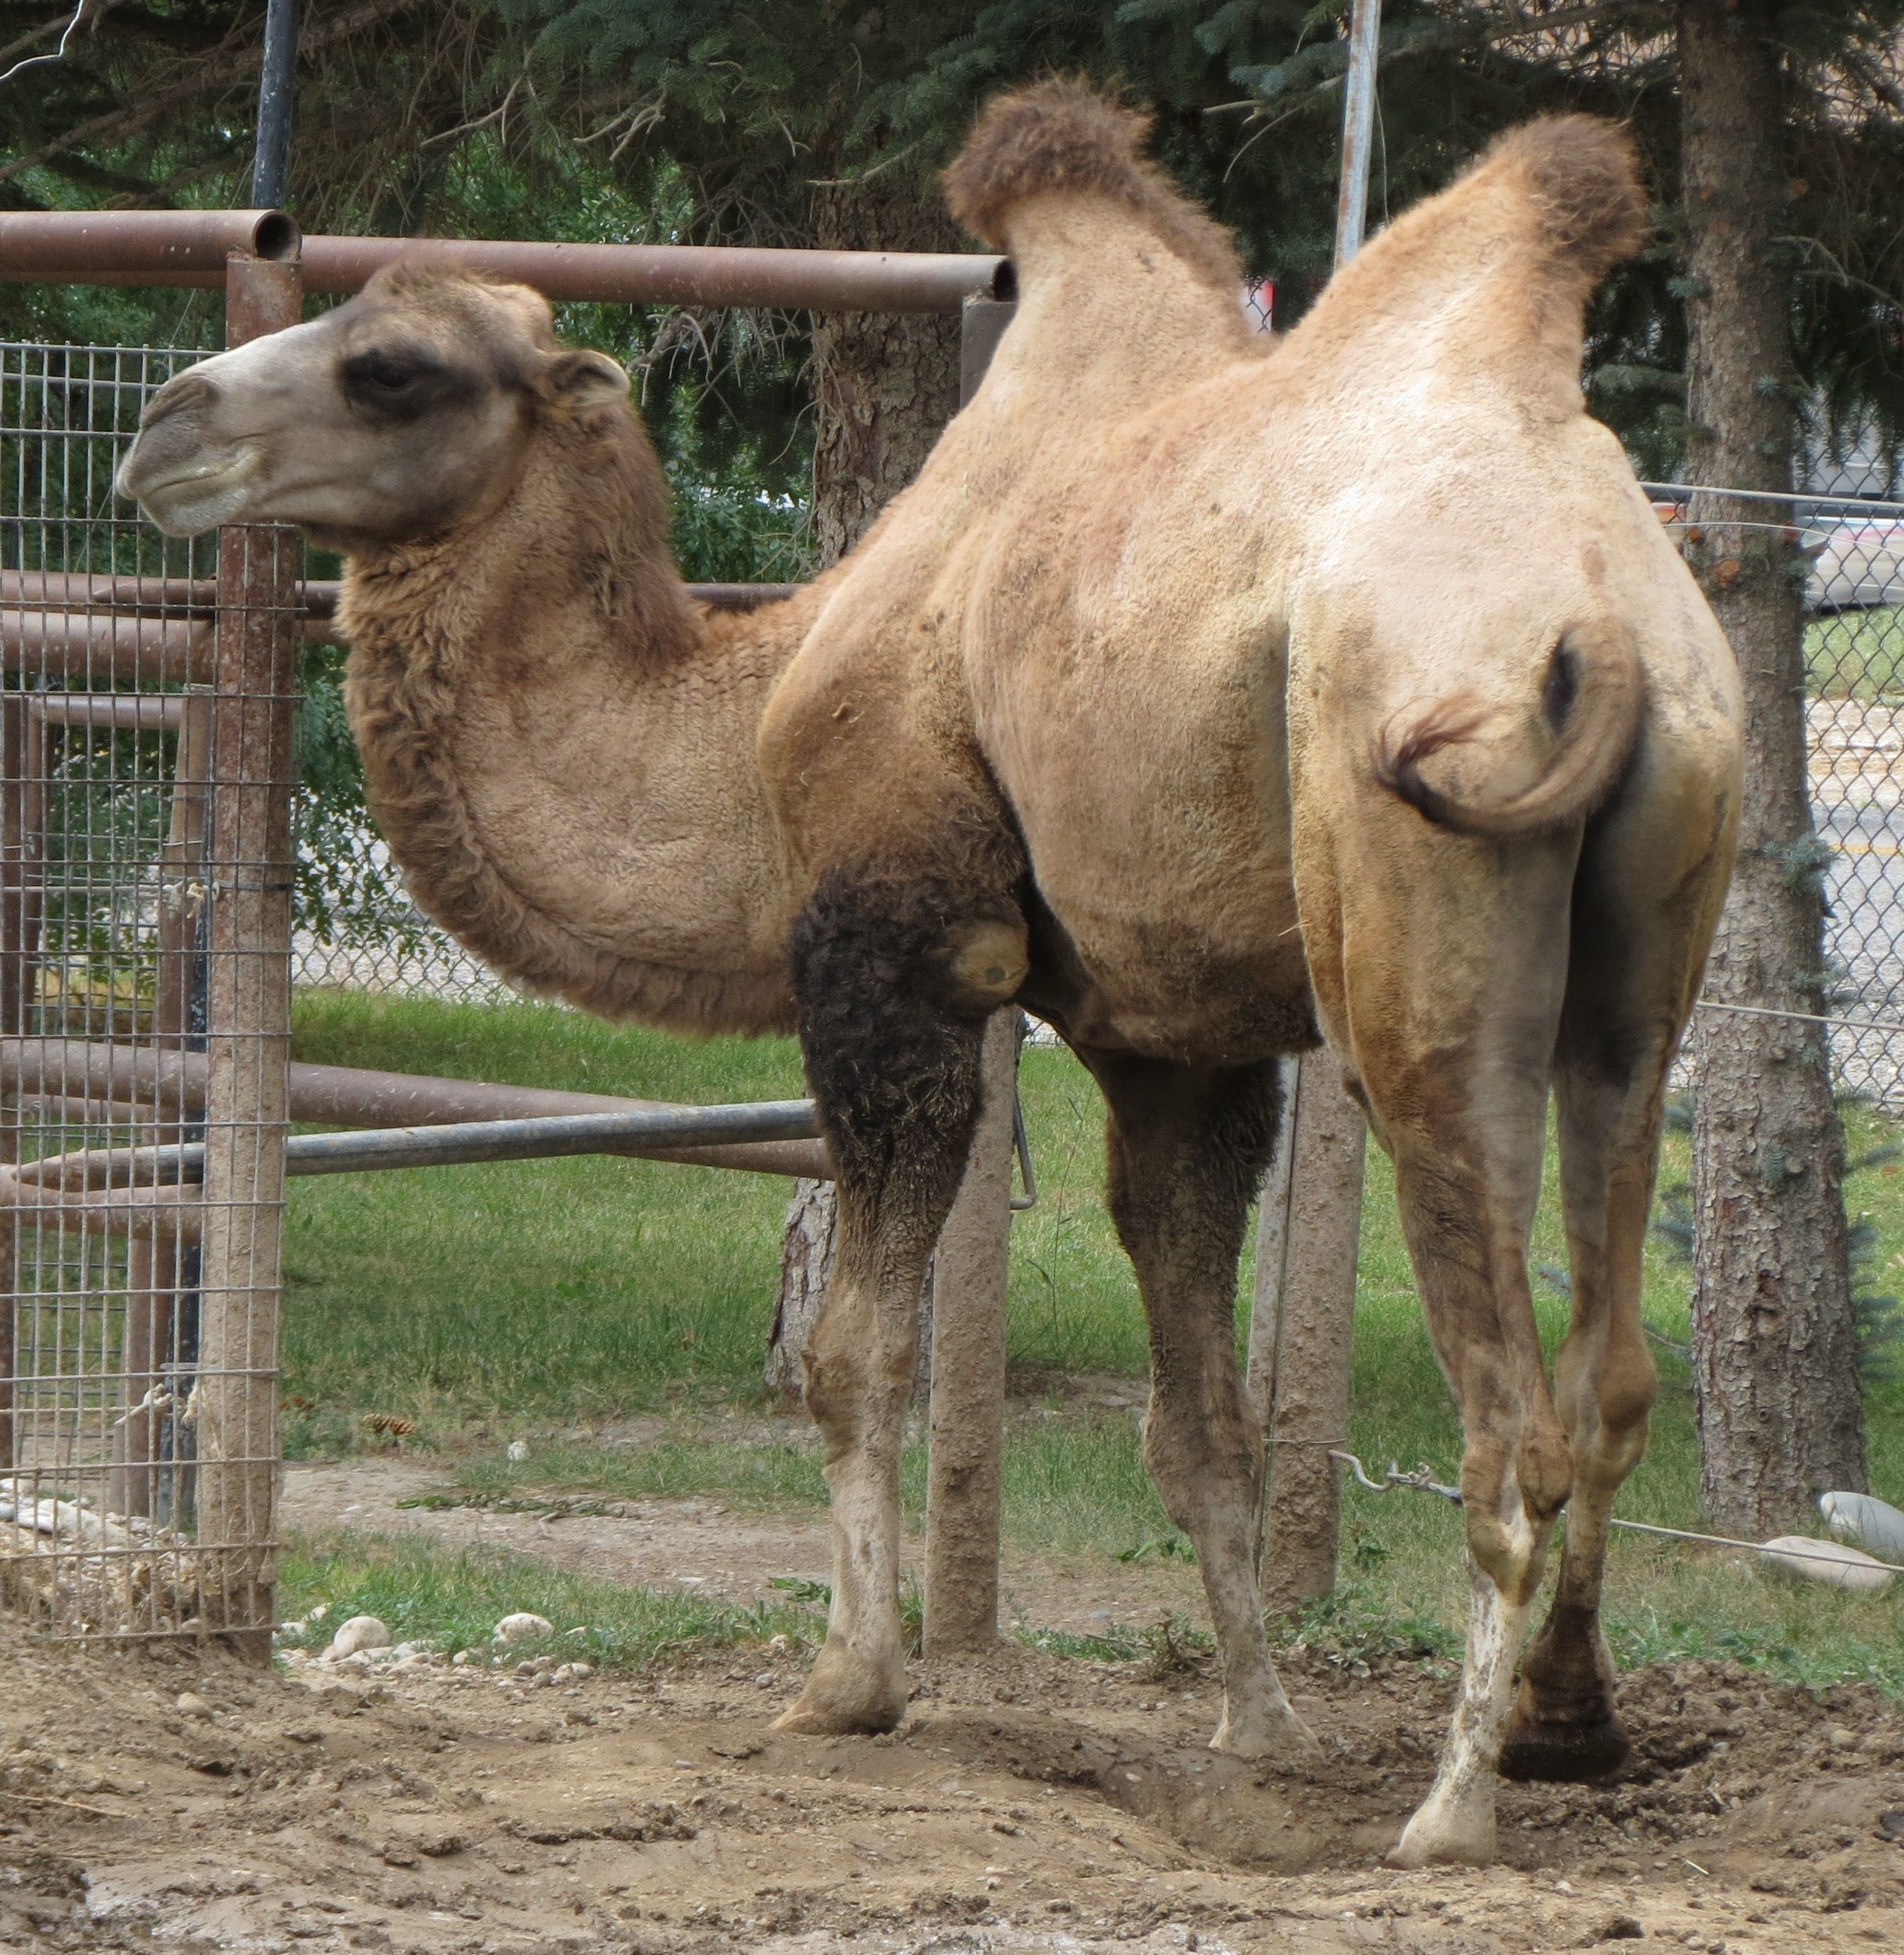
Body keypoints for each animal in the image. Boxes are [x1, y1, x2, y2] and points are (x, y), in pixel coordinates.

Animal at [119, 87, 1751, 1860]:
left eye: (393, 367)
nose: (159, 428)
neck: (751, 725)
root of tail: (1614, 610)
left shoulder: (892, 951)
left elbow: (856, 1356)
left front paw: (848, 1686)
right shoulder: (1171, 1036)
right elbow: (1195, 1420)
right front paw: (1257, 1725)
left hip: (1413, 934)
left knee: (1509, 1406)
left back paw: (1450, 1807)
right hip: (1654, 939)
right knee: (1614, 1361)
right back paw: (1567, 1727)